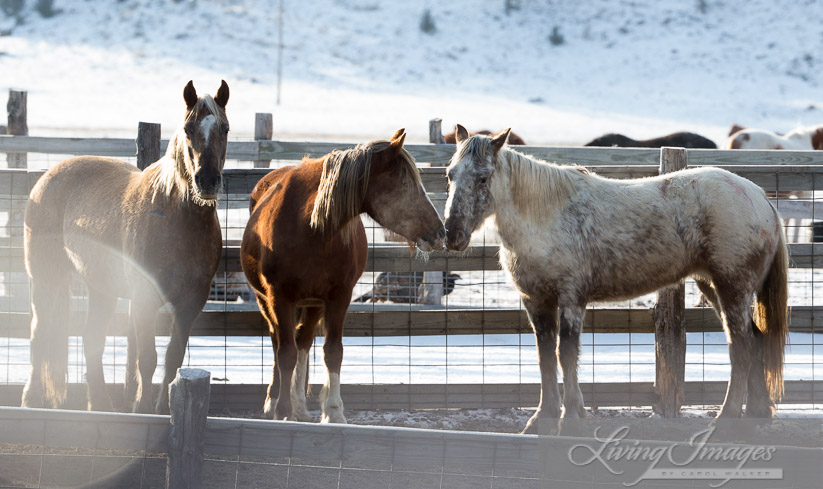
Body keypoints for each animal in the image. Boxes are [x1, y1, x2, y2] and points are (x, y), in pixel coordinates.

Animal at [22, 81, 229, 412]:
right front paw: (141, 410)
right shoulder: (144, 297)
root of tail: (47, 177)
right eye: (187, 128)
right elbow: (146, 359)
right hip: (45, 278)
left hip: (100, 288)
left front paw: (163, 409)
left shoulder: (191, 302)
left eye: (225, 128)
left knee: (92, 339)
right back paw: (31, 400)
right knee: (39, 334)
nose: (207, 181)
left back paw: (102, 406)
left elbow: (173, 358)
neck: (175, 218)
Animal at [241, 129, 448, 420]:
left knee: (303, 341)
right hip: (267, 301)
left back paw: (299, 404)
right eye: (405, 184)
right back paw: (275, 400)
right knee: (278, 341)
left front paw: (333, 411)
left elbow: (332, 352)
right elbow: (285, 354)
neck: (309, 228)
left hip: (313, 303)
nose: (440, 232)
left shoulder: (339, 297)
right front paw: (282, 410)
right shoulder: (279, 297)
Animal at [444, 125, 792, 430]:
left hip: (732, 288)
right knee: (756, 341)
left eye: (483, 177)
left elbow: (566, 354)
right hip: (713, 287)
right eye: (450, 174)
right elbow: (545, 357)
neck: (545, 215)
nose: (452, 235)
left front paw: (571, 419)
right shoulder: (536, 302)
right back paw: (758, 412)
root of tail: (760, 198)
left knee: (742, 346)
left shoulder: (571, 299)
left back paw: (726, 419)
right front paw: (543, 418)